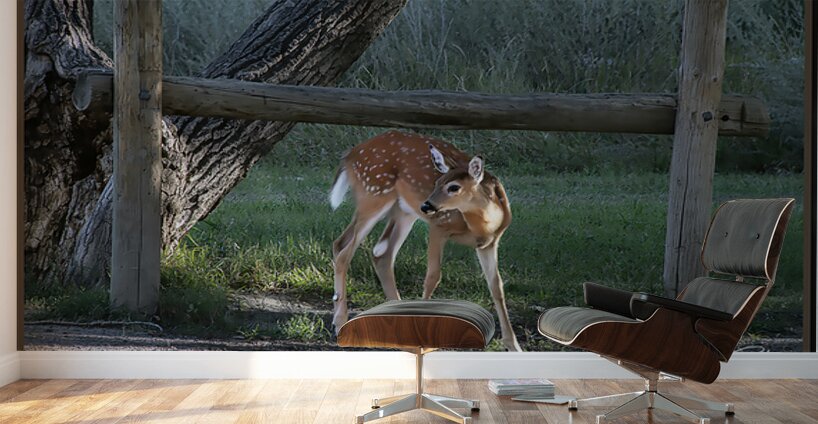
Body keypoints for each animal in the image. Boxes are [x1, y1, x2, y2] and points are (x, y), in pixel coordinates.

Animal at [328, 130, 521, 351]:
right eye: (437, 182)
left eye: (454, 187)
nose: (426, 205)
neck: (482, 226)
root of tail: (350, 154)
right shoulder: (438, 226)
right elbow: (432, 276)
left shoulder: (490, 243)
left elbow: (496, 286)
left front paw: (514, 346)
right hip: (374, 195)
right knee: (345, 252)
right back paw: (340, 323)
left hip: (403, 211)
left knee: (372, 252)